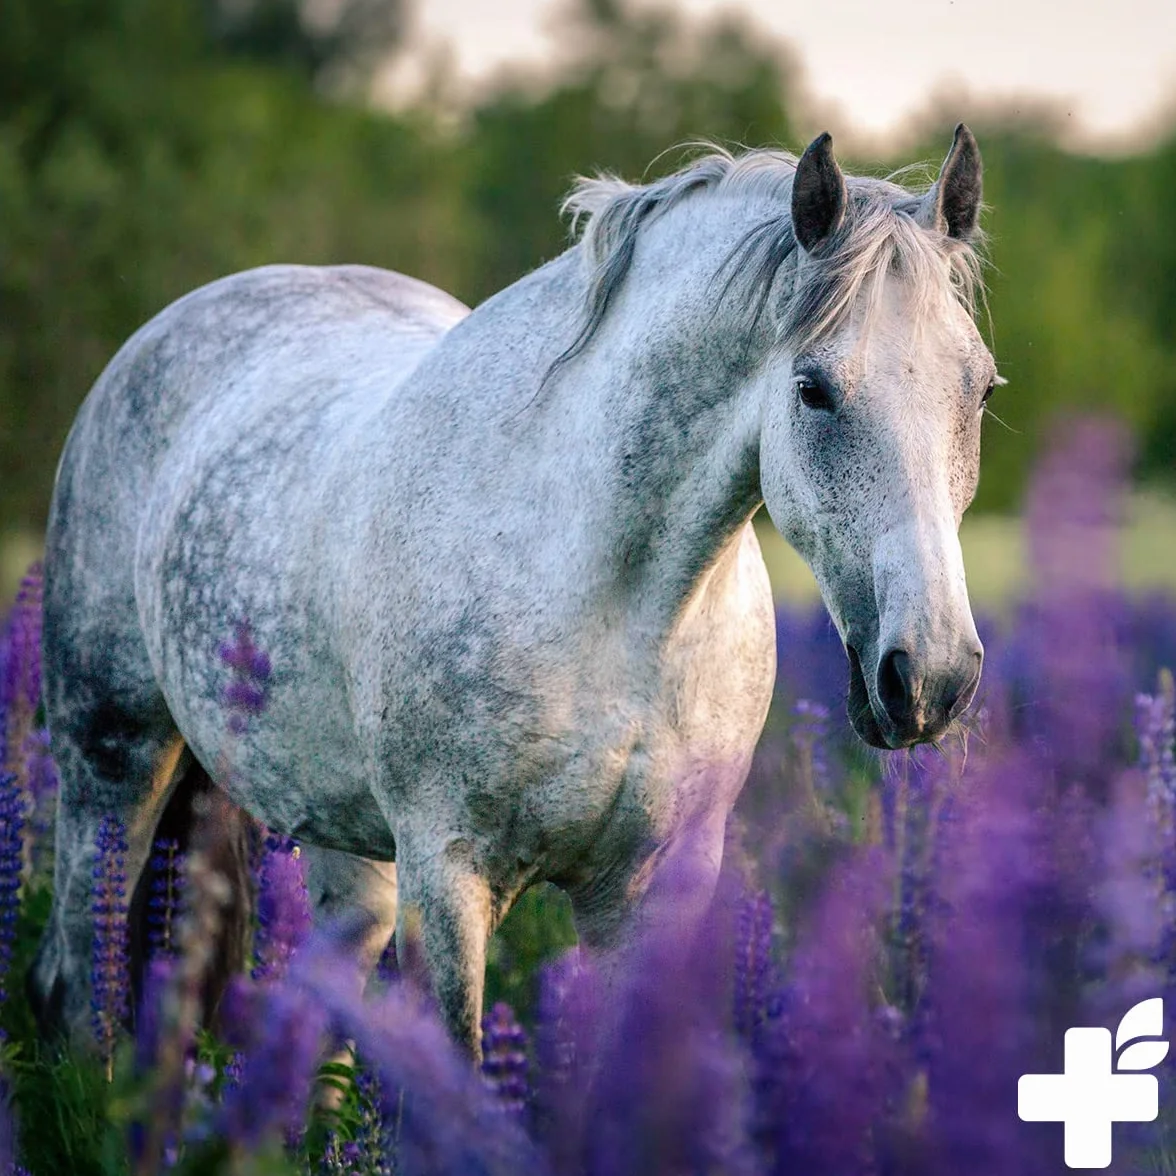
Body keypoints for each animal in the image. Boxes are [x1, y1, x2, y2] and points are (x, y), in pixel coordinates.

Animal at [30, 126, 993, 1055]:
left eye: (982, 389)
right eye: (813, 389)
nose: (933, 676)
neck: (617, 605)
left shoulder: (650, 889)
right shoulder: (448, 877)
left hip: (343, 843)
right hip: (110, 767)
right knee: (81, 980)